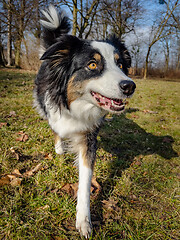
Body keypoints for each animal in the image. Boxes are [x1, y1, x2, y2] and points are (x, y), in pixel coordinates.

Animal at [33, 5, 136, 238]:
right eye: (92, 64)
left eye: (120, 64)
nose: (130, 86)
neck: (77, 106)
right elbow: (57, 131)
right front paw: (60, 149)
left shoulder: (89, 138)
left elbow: (85, 180)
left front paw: (83, 220)